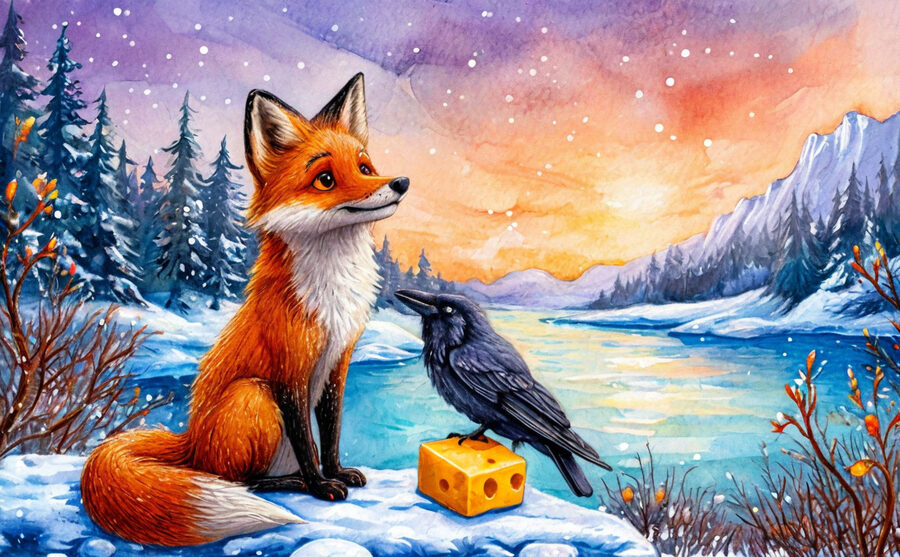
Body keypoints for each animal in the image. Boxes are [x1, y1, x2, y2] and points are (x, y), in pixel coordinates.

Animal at [80, 73, 410, 546]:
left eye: (365, 167)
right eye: (325, 179)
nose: (400, 182)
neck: (330, 294)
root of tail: (192, 445)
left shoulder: (337, 362)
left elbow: (329, 433)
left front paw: (337, 471)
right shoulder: (289, 368)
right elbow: (306, 442)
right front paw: (320, 485)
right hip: (254, 395)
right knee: (240, 480)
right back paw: (288, 483)